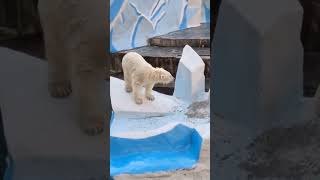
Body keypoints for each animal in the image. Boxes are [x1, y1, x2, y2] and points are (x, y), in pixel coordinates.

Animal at [38, 0, 108, 135]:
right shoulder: (89, 35)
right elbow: (87, 76)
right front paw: (93, 124)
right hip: (53, 13)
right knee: (55, 46)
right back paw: (59, 87)